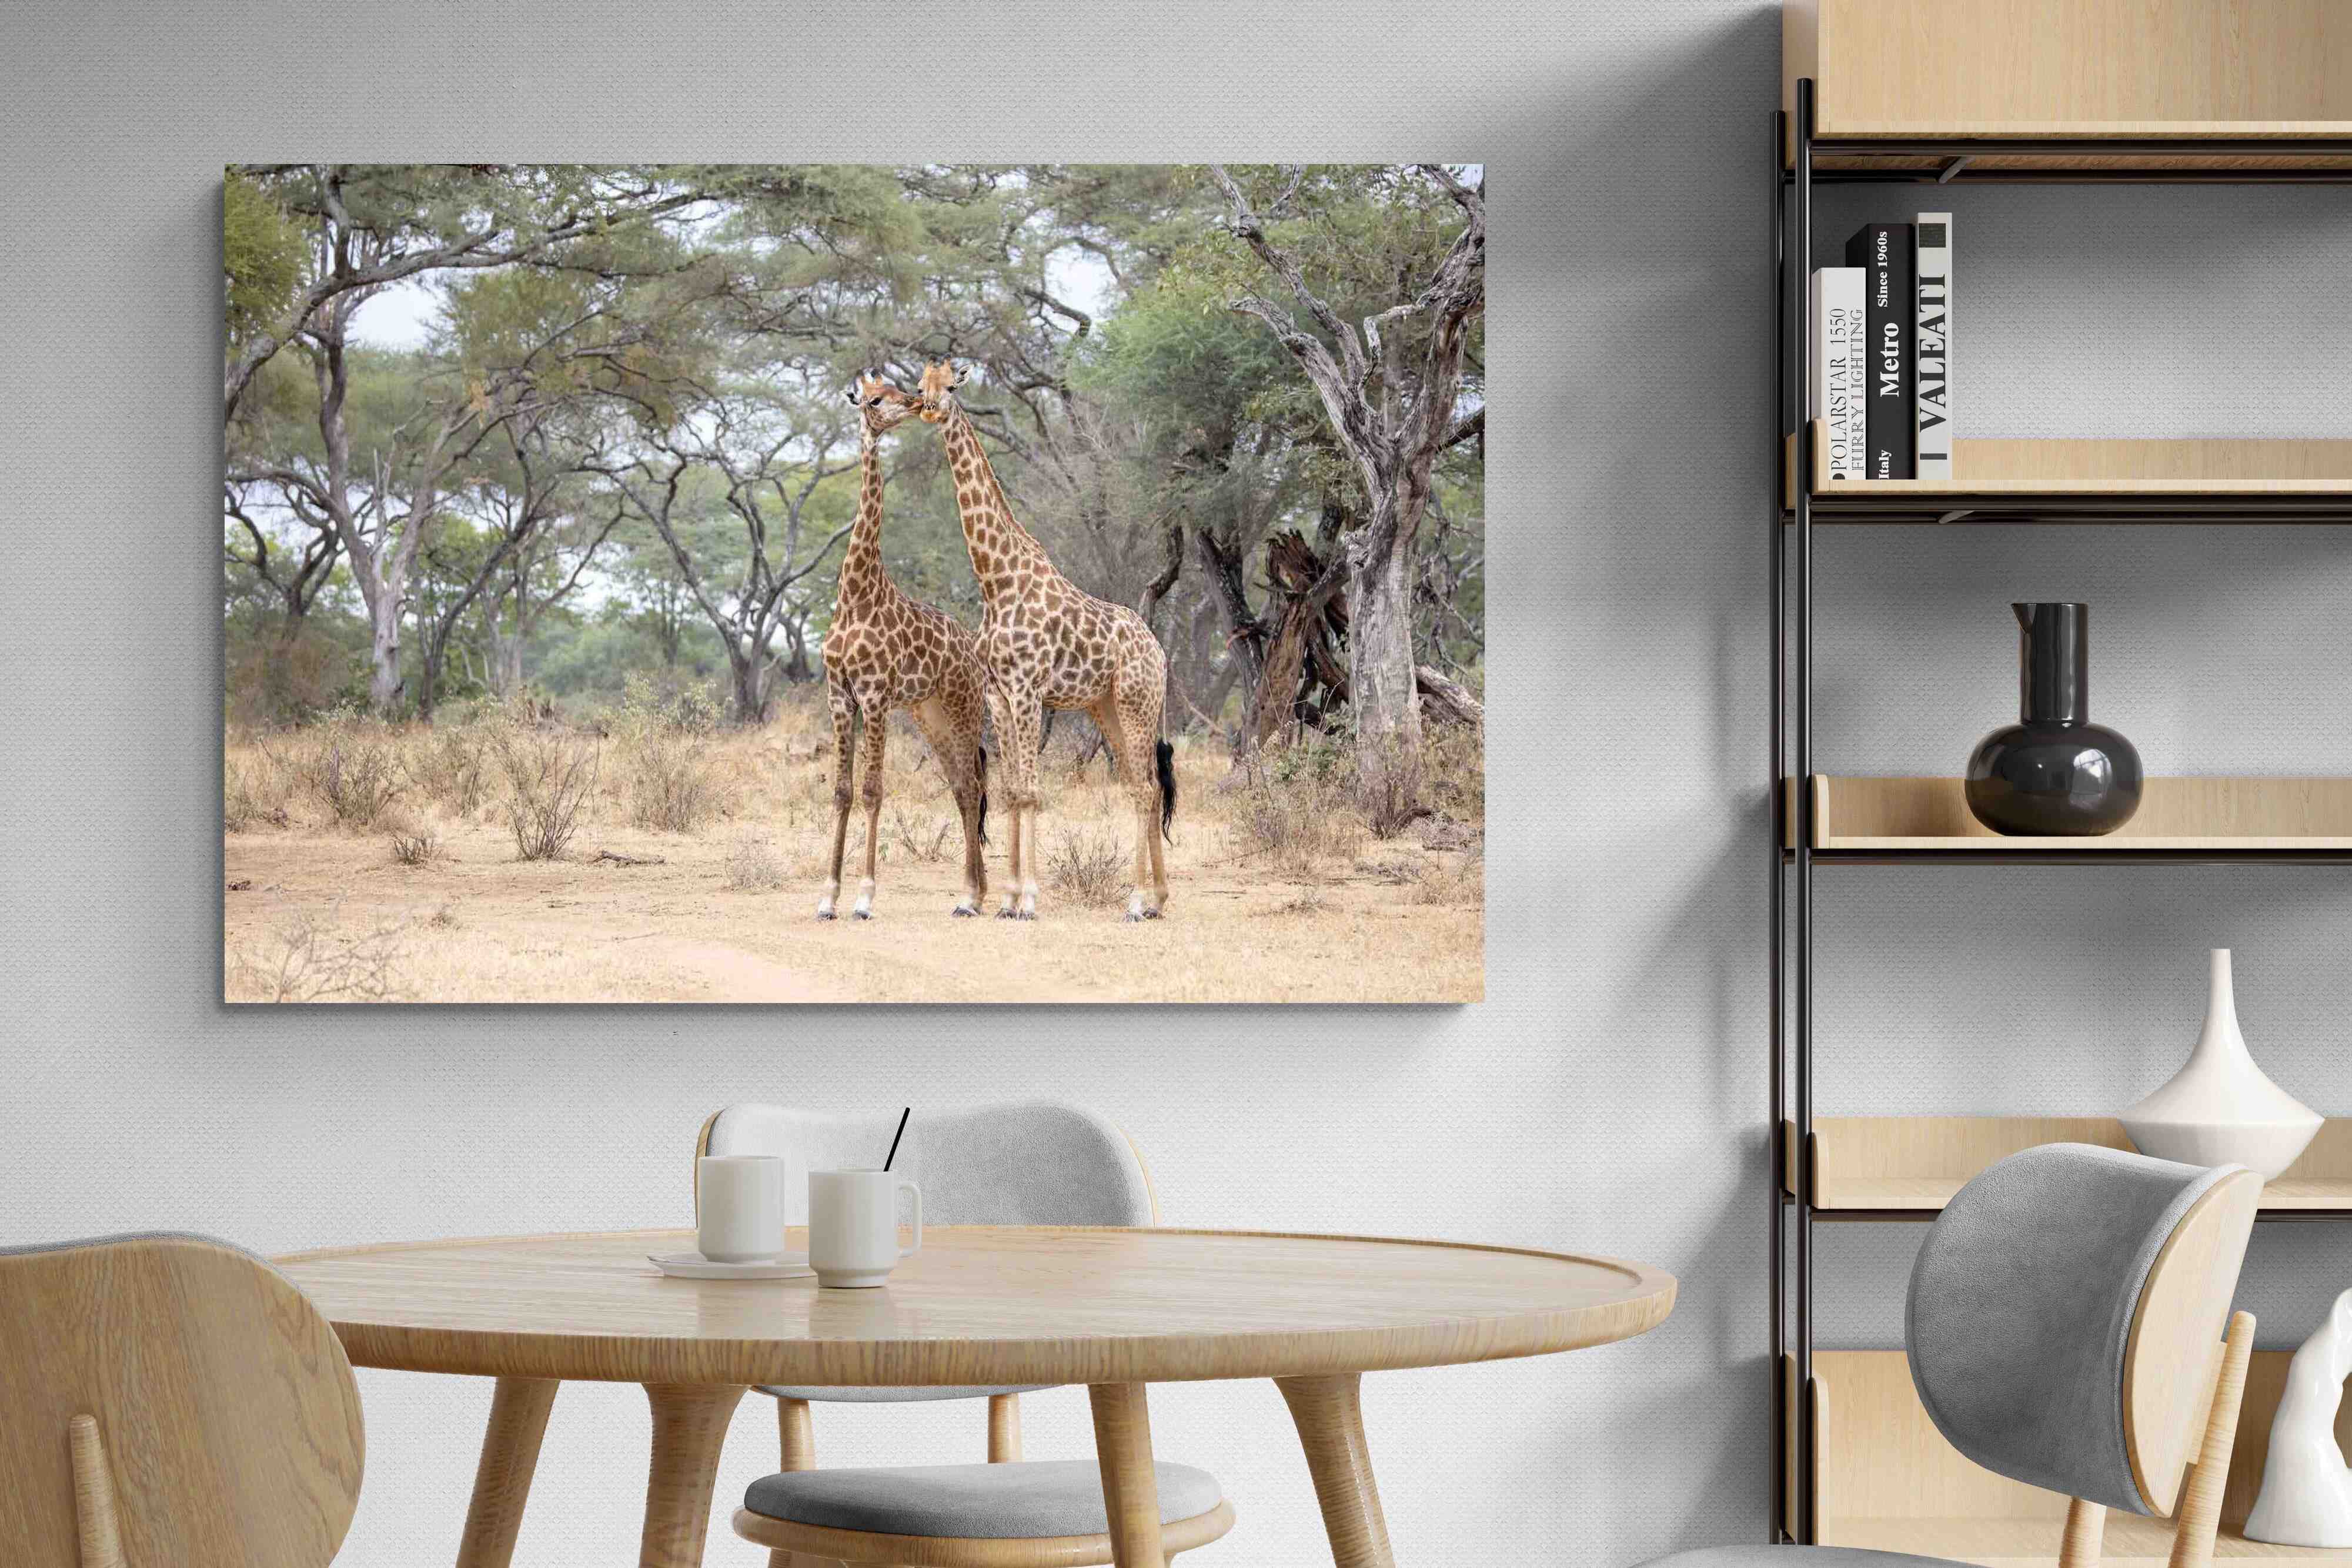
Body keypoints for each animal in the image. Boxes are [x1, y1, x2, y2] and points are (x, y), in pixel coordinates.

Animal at [814, 371, 991, 921]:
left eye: (896, 388)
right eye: (874, 398)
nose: (914, 403)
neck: (856, 594)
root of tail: (972, 650)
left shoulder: (874, 696)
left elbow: (873, 790)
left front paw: (864, 898)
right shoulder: (840, 696)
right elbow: (843, 792)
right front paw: (827, 897)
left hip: (963, 708)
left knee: (973, 786)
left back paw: (970, 896)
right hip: (928, 714)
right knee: (962, 788)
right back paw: (976, 892)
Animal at [913, 360, 1175, 921]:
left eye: (952, 384)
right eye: (920, 384)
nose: (928, 408)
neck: (996, 579)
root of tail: (1160, 651)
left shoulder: (1029, 691)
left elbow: (1032, 791)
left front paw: (1029, 900)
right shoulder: (1000, 695)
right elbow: (1013, 790)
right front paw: (1008, 899)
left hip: (1137, 702)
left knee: (1146, 789)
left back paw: (1136, 901)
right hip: (1107, 707)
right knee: (1141, 785)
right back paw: (1157, 899)